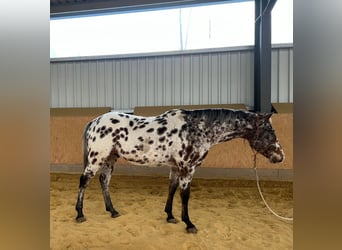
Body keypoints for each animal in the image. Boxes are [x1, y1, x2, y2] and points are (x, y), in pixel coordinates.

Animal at [76, 108, 284, 233]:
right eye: (270, 132)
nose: (280, 156)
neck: (199, 128)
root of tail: (94, 122)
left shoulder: (176, 168)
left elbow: (172, 189)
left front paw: (170, 216)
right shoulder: (187, 168)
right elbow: (185, 195)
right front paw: (189, 224)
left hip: (110, 158)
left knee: (104, 180)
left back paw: (112, 211)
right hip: (96, 158)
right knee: (84, 181)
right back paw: (80, 214)